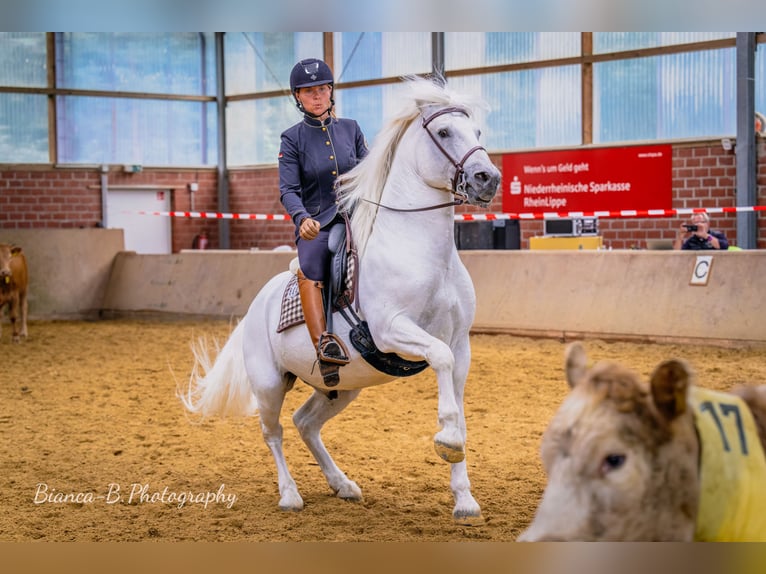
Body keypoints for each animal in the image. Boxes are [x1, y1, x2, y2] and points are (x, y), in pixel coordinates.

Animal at [179, 76, 501, 525]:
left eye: (478, 132)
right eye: (443, 132)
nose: (488, 178)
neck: (419, 251)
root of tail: (257, 306)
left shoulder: (461, 344)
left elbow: (456, 389)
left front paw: (464, 498)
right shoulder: (391, 330)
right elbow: (439, 359)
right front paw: (448, 440)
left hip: (341, 386)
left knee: (305, 423)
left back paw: (342, 484)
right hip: (268, 384)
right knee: (273, 431)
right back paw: (290, 495)